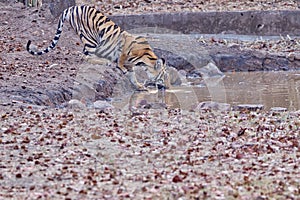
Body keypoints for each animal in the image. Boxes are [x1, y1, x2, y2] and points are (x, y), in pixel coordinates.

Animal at [25, 4, 166, 90]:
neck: (145, 59)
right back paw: (104, 61)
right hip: (91, 38)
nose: (167, 86)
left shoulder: (131, 64)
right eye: (163, 76)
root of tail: (71, 7)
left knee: (85, 54)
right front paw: (121, 68)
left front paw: (139, 86)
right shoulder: (125, 50)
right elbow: (121, 61)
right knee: (86, 56)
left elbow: (132, 75)